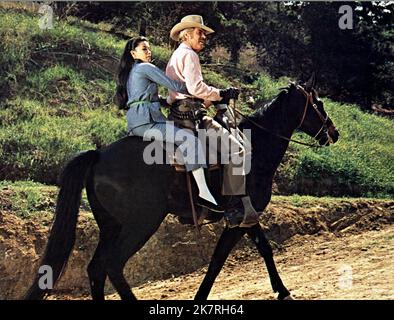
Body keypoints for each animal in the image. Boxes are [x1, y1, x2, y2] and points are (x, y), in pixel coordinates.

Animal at [24, 75, 338, 300]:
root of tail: (99, 155)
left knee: (96, 268)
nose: (334, 133)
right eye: (319, 104)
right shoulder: (239, 219)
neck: (254, 148)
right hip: (141, 224)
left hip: (111, 226)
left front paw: (280, 290)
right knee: (111, 265)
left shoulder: (247, 216)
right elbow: (221, 260)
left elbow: (259, 249)